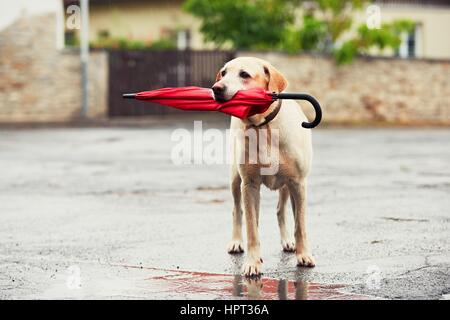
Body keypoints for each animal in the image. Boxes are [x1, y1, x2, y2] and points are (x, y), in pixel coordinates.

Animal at [212, 56, 314, 276]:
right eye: (223, 73)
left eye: (244, 74)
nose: (216, 88)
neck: (264, 126)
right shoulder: (249, 184)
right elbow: (251, 227)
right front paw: (252, 262)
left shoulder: (298, 183)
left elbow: (300, 225)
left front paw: (303, 254)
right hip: (236, 180)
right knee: (239, 211)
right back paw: (237, 241)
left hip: (286, 186)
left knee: (280, 210)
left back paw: (287, 241)